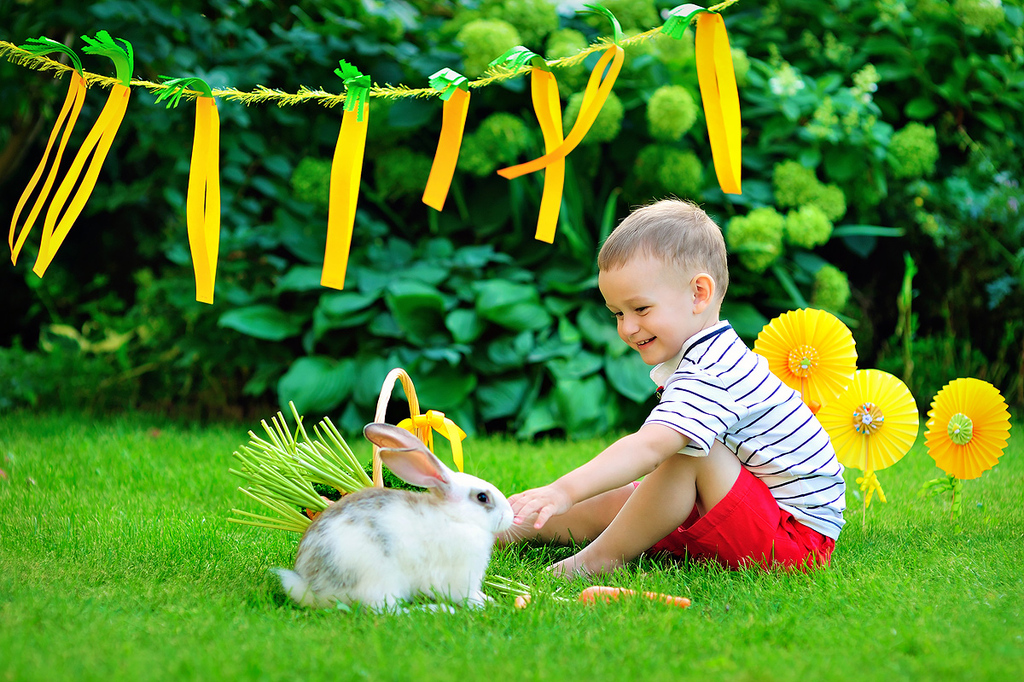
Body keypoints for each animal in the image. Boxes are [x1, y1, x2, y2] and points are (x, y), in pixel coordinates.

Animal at [274, 421, 512, 606]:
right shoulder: (459, 578)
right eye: (482, 497)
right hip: (379, 581)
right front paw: (484, 603)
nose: (510, 516)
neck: (456, 517)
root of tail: (311, 587)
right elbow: (465, 596)